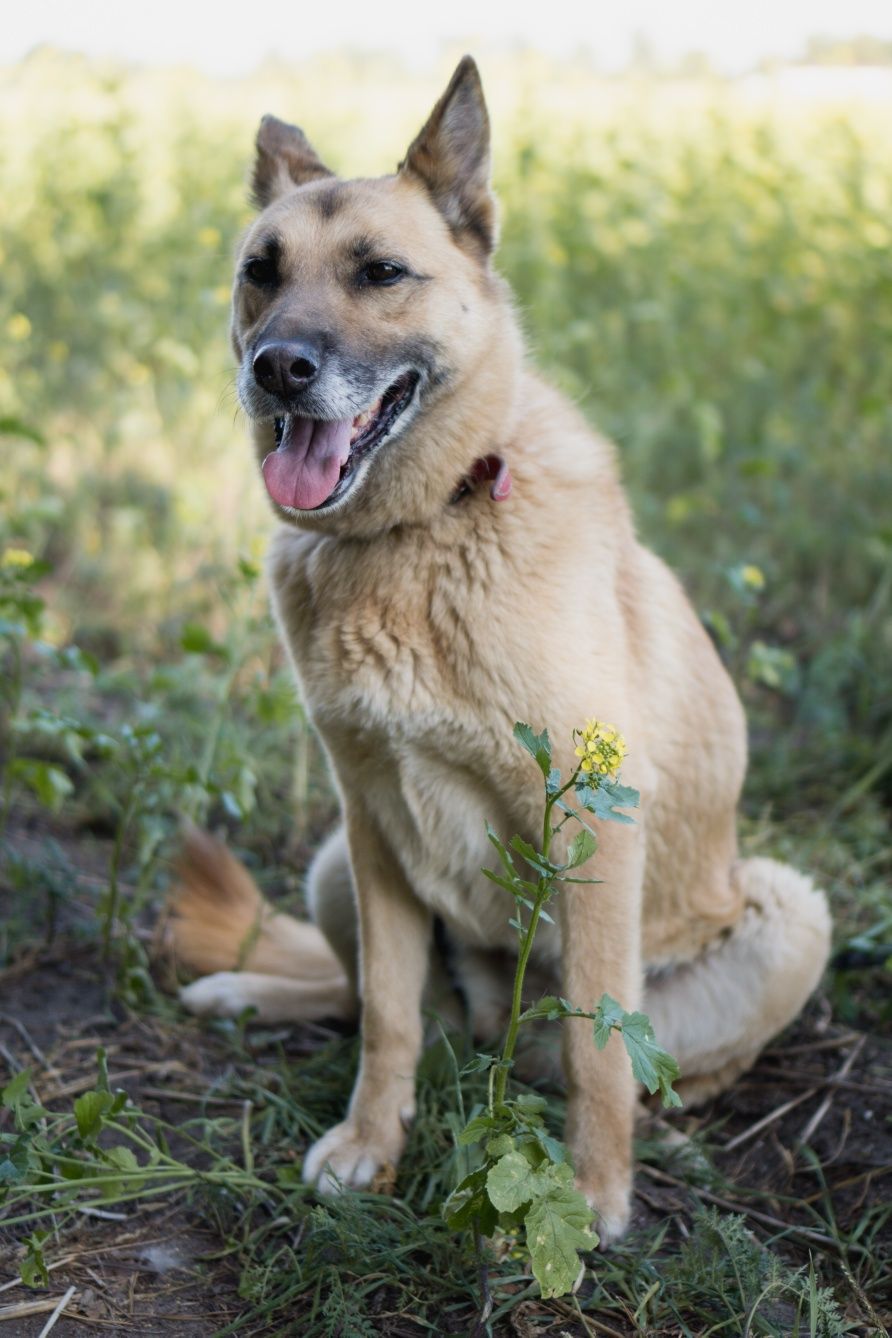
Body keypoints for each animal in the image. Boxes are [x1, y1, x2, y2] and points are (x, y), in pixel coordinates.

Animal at [171, 54, 834, 1241]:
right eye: (259, 273)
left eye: (381, 272)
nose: (277, 367)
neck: (416, 530)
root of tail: (488, 1018)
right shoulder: (374, 827)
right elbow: (387, 1014)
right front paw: (371, 1145)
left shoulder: (596, 831)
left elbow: (595, 1041)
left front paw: (594, 1194)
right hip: (335, 861)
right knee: (372, 1000)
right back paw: (254, 991)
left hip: (787, 914)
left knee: (611, 1054)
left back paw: (659, 1126)